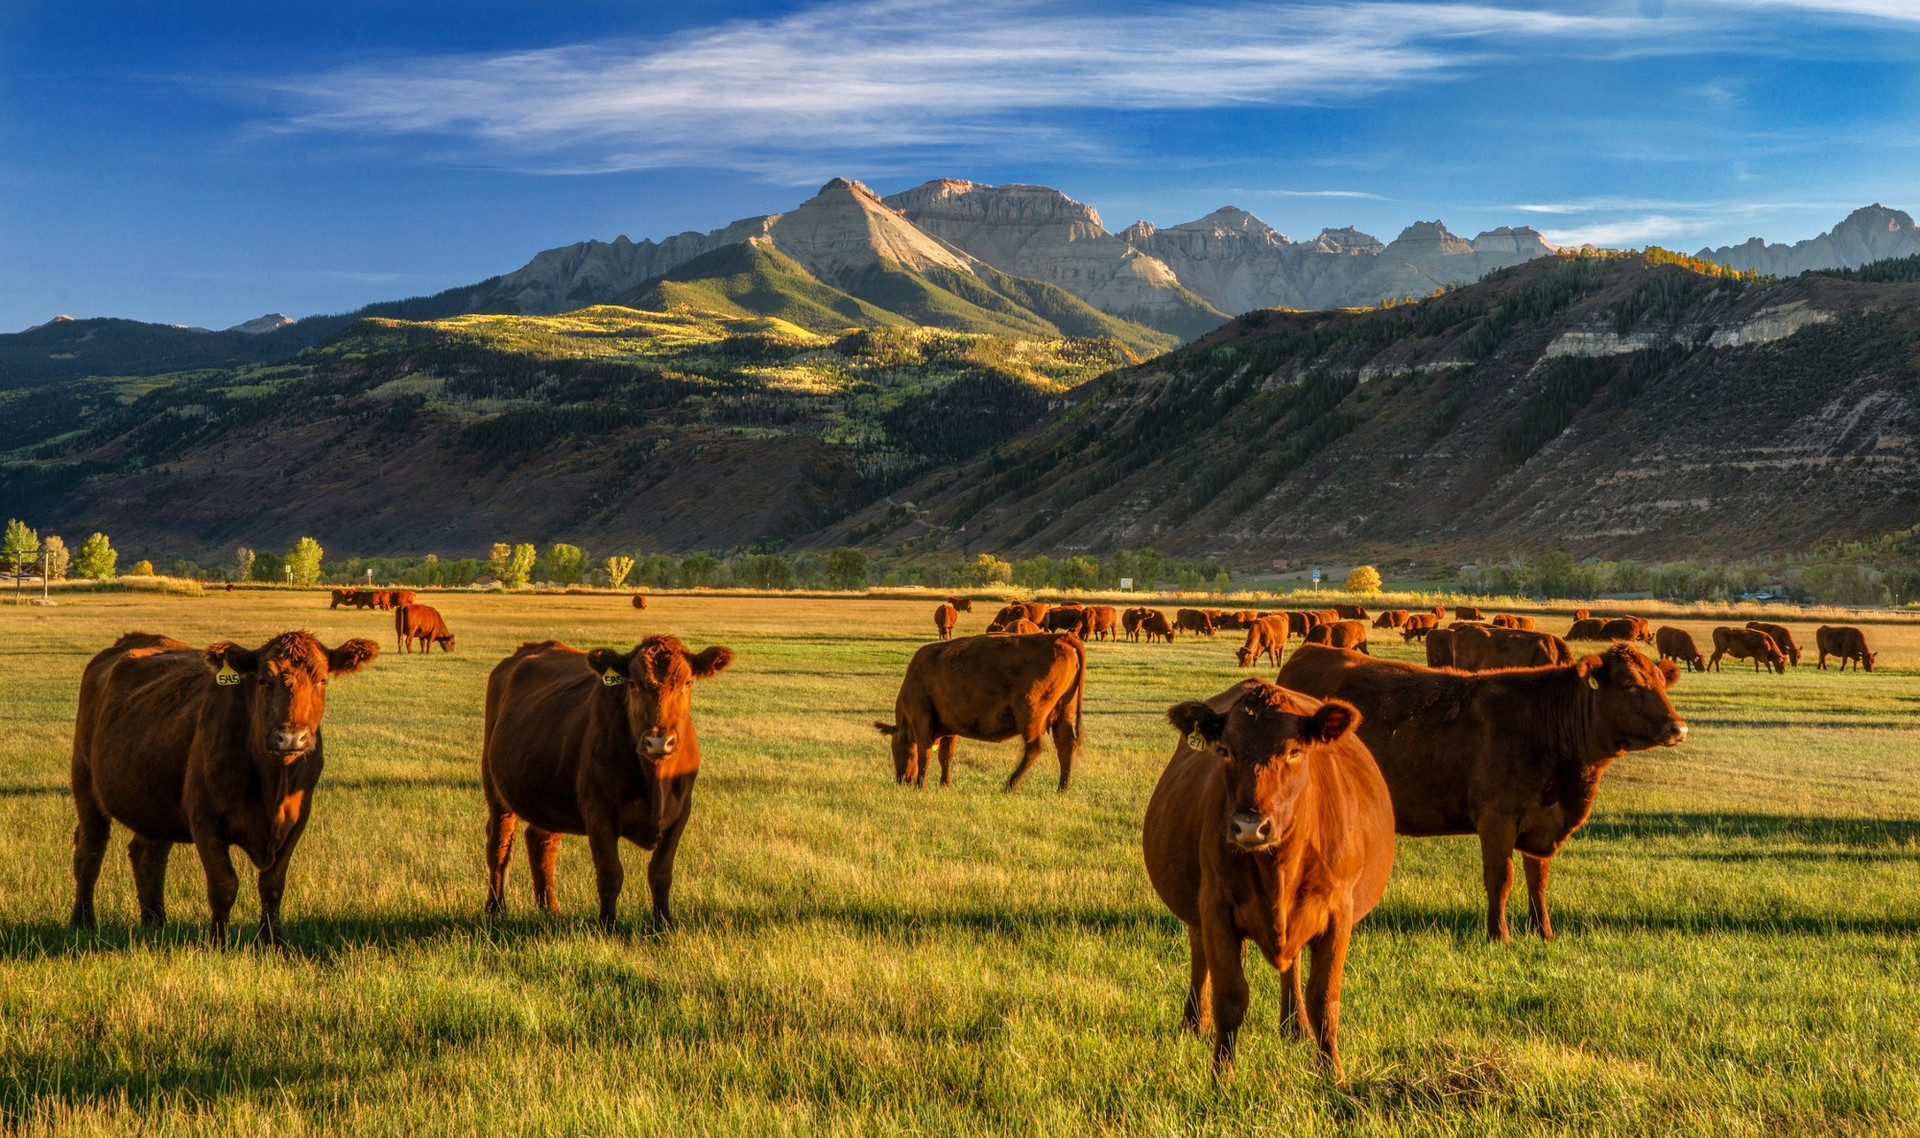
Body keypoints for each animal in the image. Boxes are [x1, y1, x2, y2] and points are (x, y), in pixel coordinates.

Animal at [69, 630, 379, 946]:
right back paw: (83, 921)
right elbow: (223, 884)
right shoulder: (205, 820)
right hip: (85, 782)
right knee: (90, 851)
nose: (291, 737)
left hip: (154, 800)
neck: (272, 784)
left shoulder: (297, 820)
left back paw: (156, 924)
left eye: (322, 680)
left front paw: (272, 942)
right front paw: (219, 942)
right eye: (263, 680)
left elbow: (272, 884)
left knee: (148, 855)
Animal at [875, 632, 1085, 792]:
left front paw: (921, 785)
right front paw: (945, 784)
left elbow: (924, 754)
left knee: (1034, 748)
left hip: (1030, 712)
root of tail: (1061, 637)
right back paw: (1062, 788)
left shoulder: (922, 719)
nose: (901, 779)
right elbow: (946, 756)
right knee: (1065, 746)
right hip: (1064, 712)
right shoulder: (949, 727)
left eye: (895, 749)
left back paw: (1009, 785)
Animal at [1142, 680, 1394, 1080]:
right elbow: (1231, 997)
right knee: (1200, 959)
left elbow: (1324, 999)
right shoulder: (1215, 906)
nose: (1249, 825)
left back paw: (1295, 1028)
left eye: (1293, 751)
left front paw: (1332, 1074)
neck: (1278, 868)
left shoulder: (1339, 911)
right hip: (1197, 911)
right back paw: (1194, 1023)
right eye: (1225, 750)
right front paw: (1222, 1075)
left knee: (1292, 968)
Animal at [1278, 643, 1685, 943]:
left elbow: (1538, 879)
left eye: (1661, 682)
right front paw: (1499, 936)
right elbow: (1500, 878)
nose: (1678, 727)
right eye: (1629, 683)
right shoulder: (1497, 817)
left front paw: (1544, 932)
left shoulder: (1539, 820)